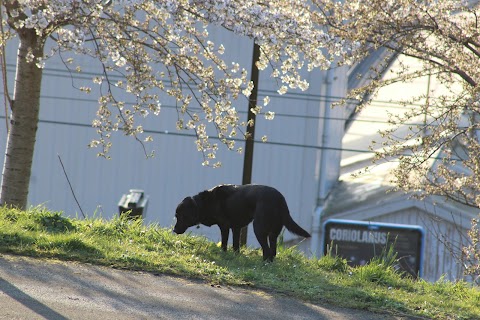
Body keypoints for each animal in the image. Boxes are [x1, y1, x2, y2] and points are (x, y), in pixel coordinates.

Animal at [172, 184, 312, 262]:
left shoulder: (224, 226)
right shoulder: (236, 228)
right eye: (176, 216)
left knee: (266, 250)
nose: (174, 230)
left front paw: (223, 254)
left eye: (180, 216)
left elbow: (224, 243)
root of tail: (280, 200)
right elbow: (235, 245)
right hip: (274, 233)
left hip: (258, 228)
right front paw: (235, 256)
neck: (203, 203)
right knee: (272, 251)